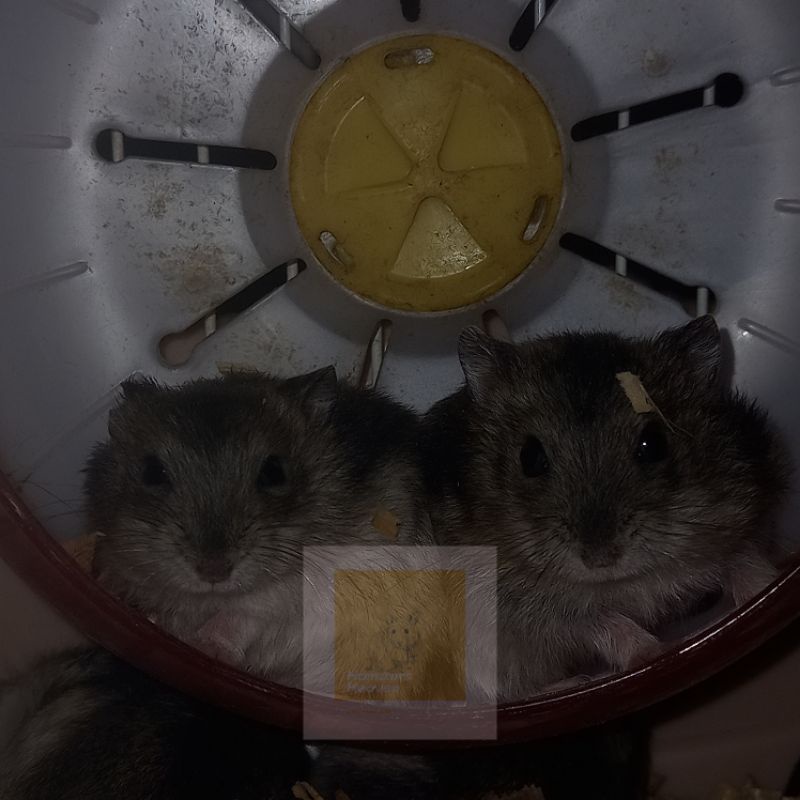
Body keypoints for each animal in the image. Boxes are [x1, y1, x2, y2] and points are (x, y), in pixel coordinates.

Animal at [87, 367, 432, 684]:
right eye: (152, 472)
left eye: (274, 472)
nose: (214, 571)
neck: (207, 598)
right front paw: (115, 592)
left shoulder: (293, 595)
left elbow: (243, 616)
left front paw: (203, 646)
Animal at [423, 316, 791, 699]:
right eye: (530, 457)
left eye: (654, 443)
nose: (600, 558)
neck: (623, 581)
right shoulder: (528, 610)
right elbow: (605, 623)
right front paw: (655, 655)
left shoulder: (745, 513)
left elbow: (745, 562)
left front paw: (770, 588)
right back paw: (577, 682)